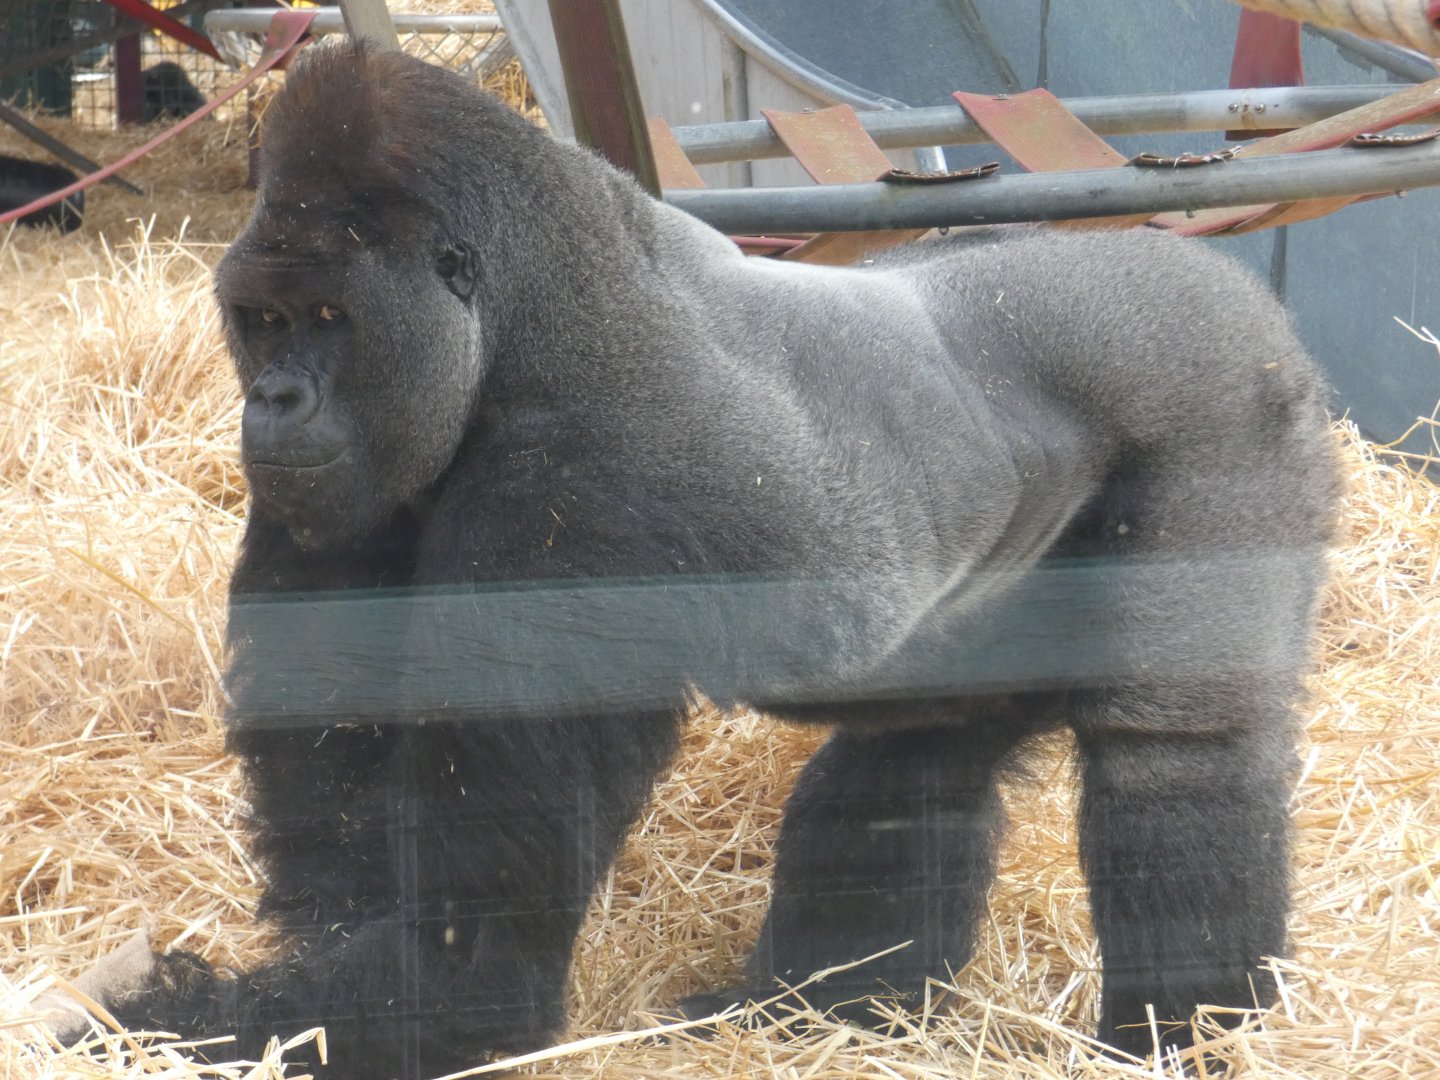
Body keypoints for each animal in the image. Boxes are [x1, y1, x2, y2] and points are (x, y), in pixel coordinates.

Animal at [97, 40, 1339, 1078]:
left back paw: (1179, 1030)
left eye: (327, 318)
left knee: (1176, 759)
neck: (527, 315)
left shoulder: (572, 498)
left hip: (1222, 406)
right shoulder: (346, 485)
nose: (273, 401)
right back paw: (820, 1010)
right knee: (913, 756)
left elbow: (467, 970)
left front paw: (170, 1023)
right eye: (261, 321)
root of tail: (1230, 289)